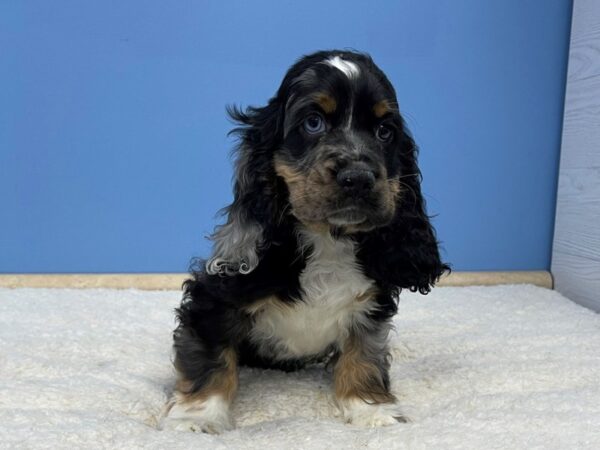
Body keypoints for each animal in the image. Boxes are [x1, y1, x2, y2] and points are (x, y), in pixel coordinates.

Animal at [162, 49, 448, 432]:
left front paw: (372, 411)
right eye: (313, 123)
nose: (358, 177)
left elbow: (364, 355)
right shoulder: (213, 299)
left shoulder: (371, 306)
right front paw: (196, 419)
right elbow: (210, 359)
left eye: (384, 131)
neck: (327, 240)